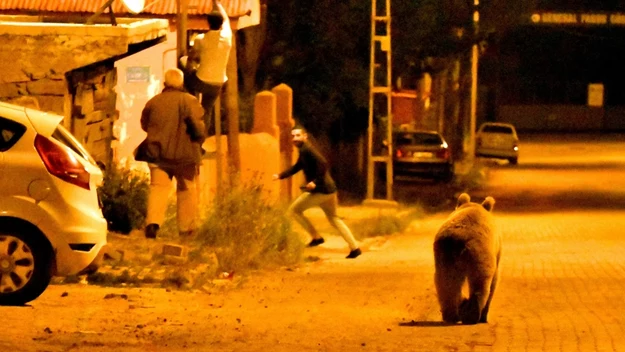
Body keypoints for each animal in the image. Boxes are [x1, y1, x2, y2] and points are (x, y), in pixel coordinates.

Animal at [432, 192, 500, 324]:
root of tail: (459, 242)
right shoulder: (496, 250)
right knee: (480, 281)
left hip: (444, 254)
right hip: (480, 252)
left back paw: (452, 315)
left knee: (445, 281)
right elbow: (494, 281)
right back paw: (473, 314)